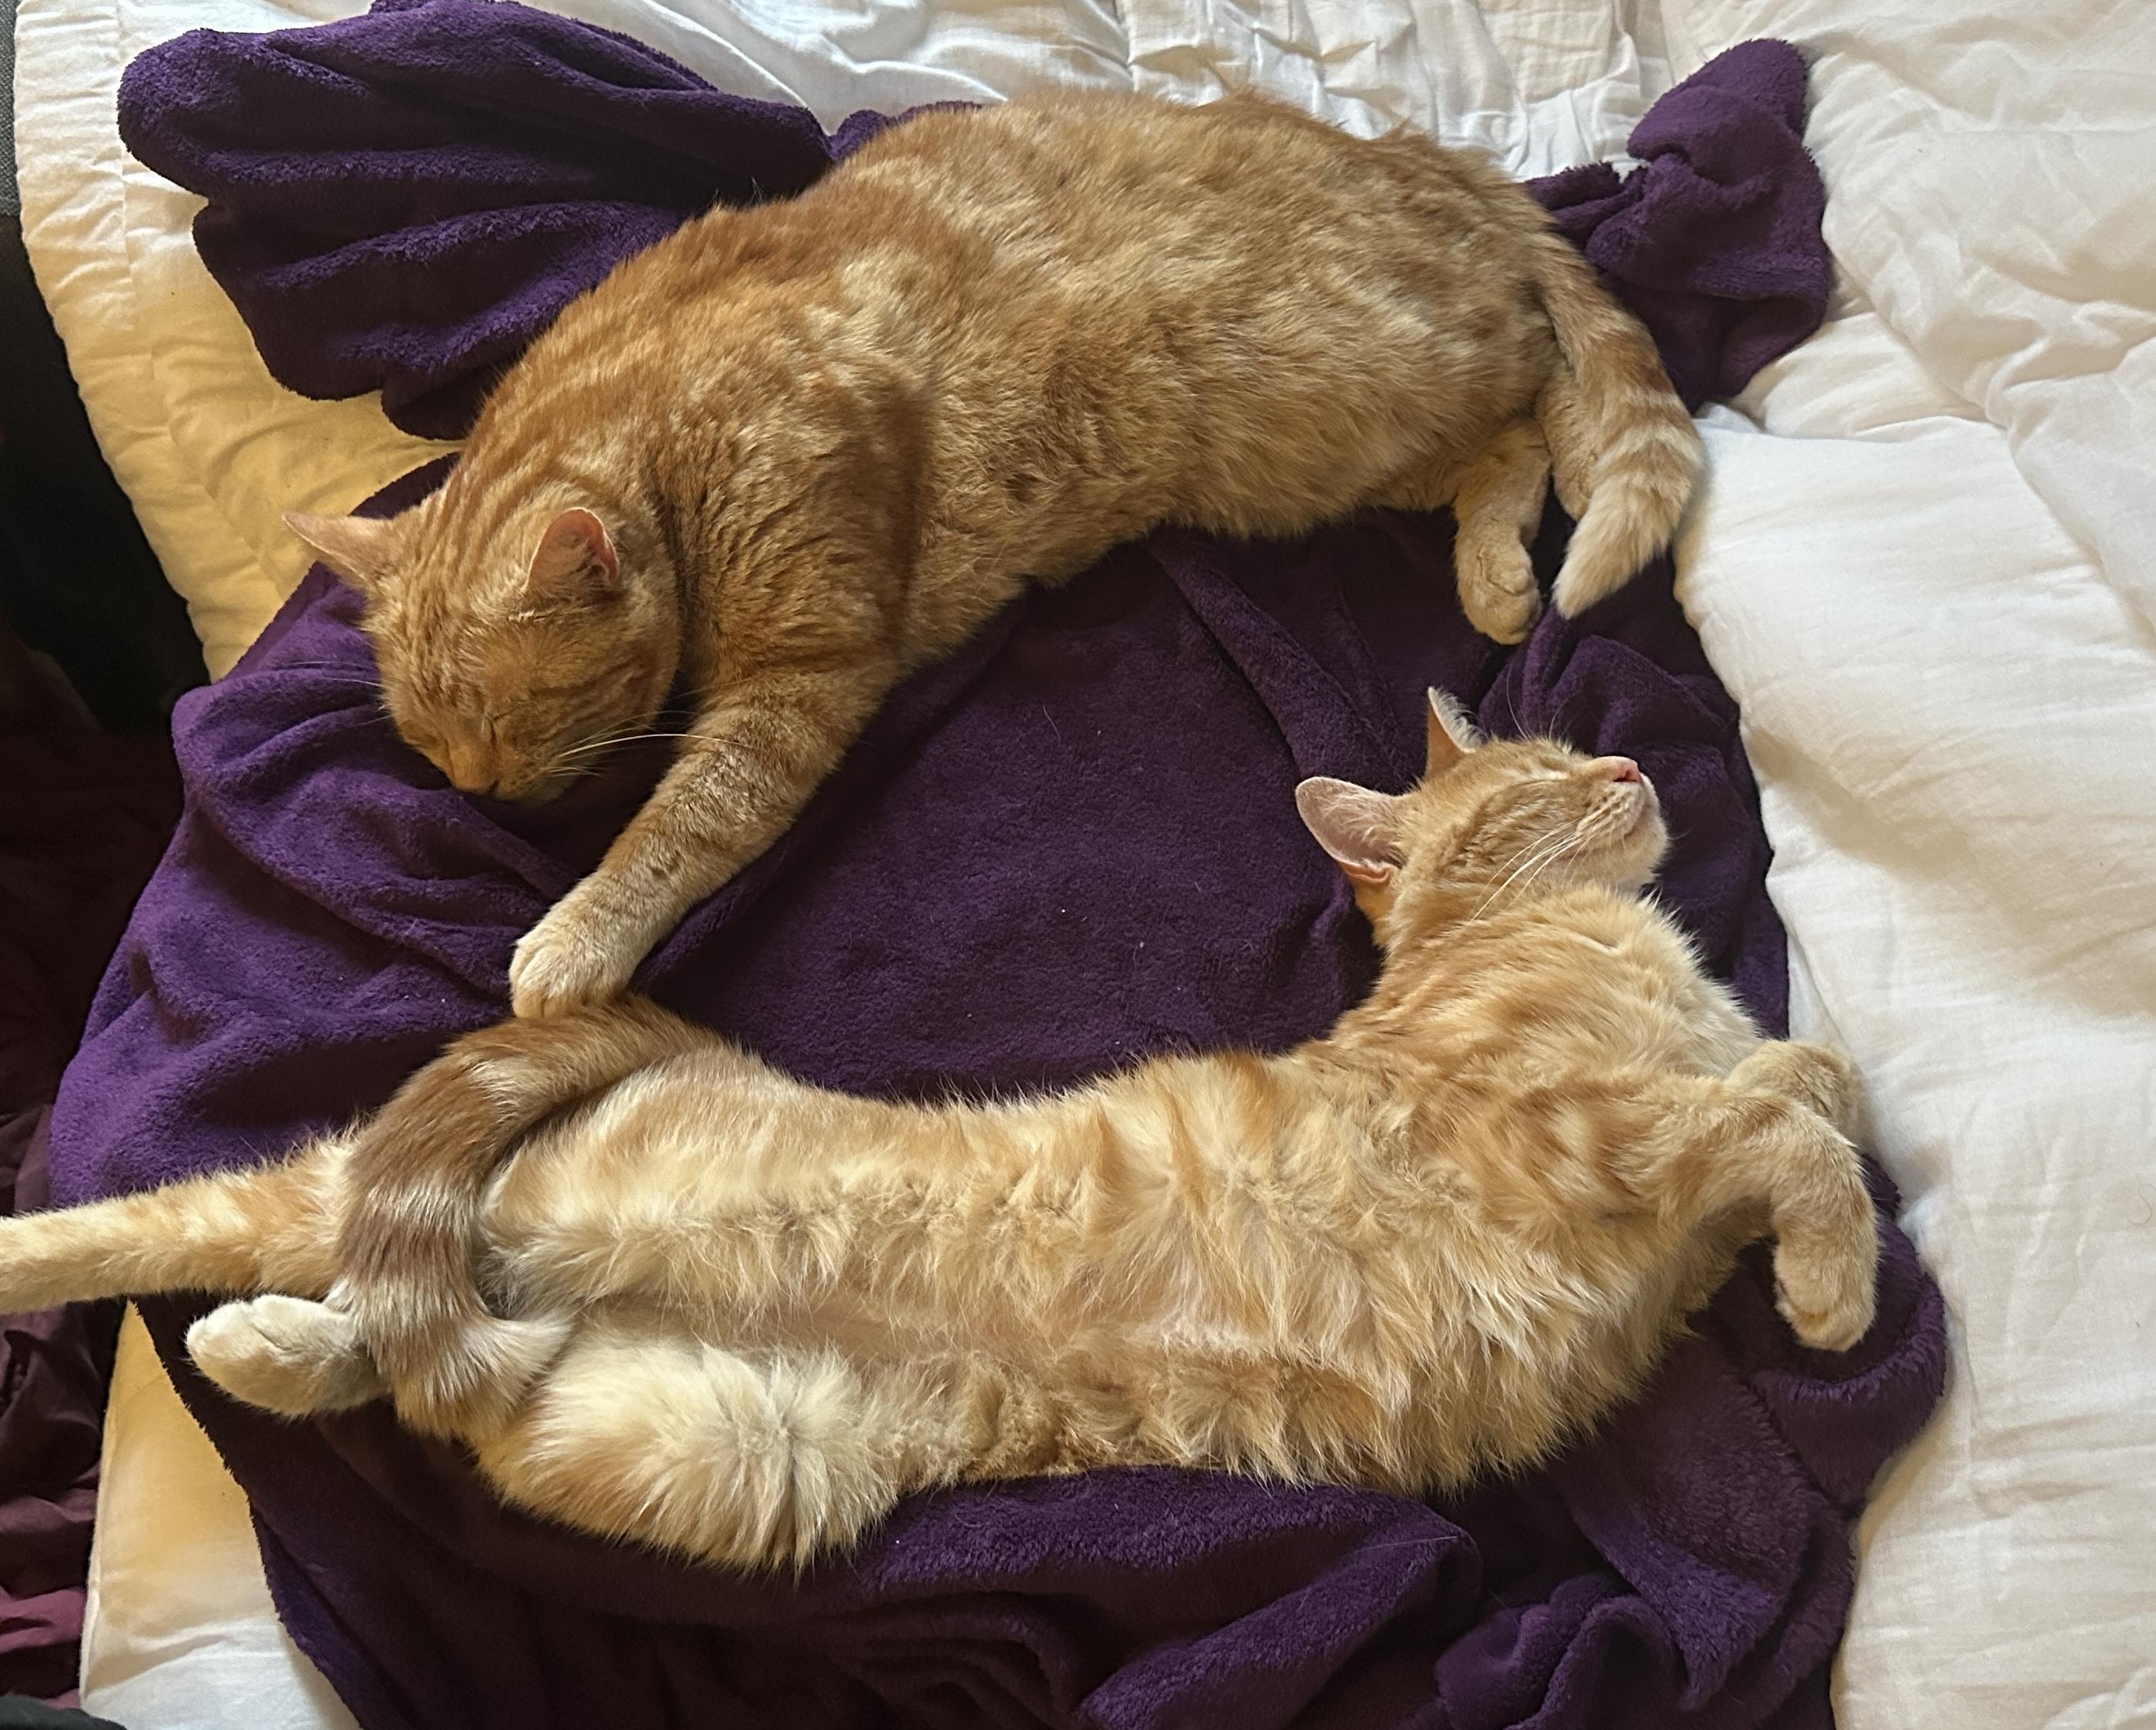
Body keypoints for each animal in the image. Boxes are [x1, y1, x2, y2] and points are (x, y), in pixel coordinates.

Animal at [0, 691, 1876, 1573]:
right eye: (1541, 777)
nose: (1628, 770)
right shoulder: (1593, 1135)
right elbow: (1797, 1126)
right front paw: (1839, 1288)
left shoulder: (1684, 1134)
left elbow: (1806, 1083)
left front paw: (1814, 1198)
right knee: (375, 1280)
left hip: (709, 1447)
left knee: (424, 1353)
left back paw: (263, 1343)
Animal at [282, 89, 1700, 1022]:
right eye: (430, 745)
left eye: (512, 723)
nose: (484, 793)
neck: (654, 418)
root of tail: (1428, 154)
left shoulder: (804, 677)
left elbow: (682, 823)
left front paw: (575, 932)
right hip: (1337, 454)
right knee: (1512, 432)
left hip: (1348, 399)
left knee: (1533, 411)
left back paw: (1512, 561)